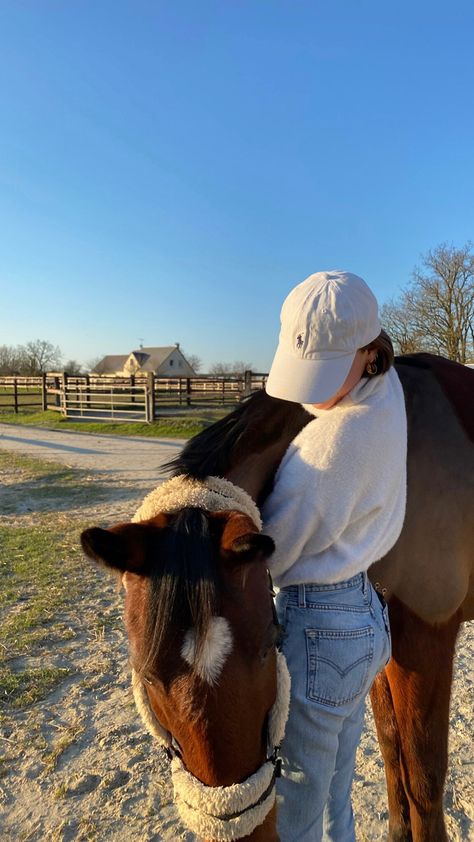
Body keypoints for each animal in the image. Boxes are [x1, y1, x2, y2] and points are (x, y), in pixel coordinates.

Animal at [81, 352, 474, 836]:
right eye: (148, 675)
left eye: (271, 646)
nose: (242, 828)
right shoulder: (384, 647)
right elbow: (391, 754)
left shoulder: (424, 638)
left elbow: (423, 776)